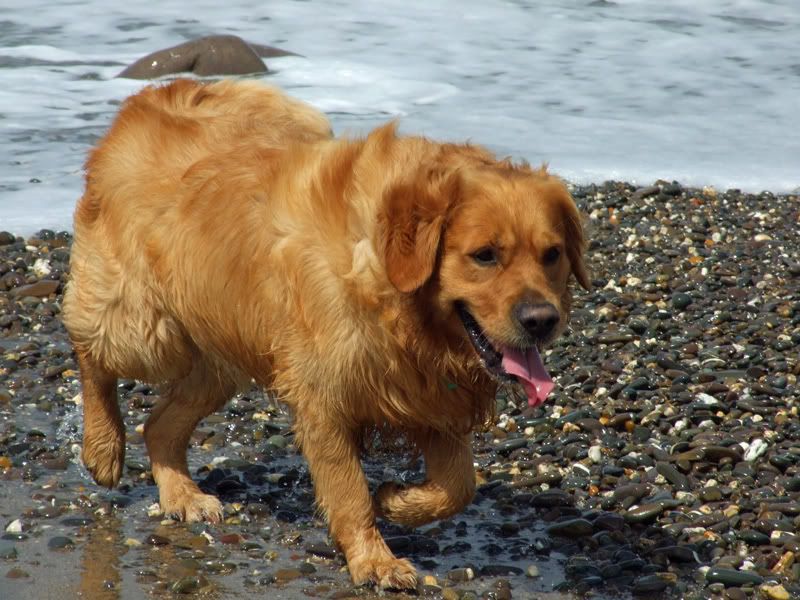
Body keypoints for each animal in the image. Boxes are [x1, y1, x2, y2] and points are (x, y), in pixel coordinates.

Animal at [61, 77, 588, 588]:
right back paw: (102, 448)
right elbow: (350, 491)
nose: (542, 320)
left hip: (224, 355)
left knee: (160, 423)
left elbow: (459, 486)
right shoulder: (327, 398)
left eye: (552, 254)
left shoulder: (432, 397)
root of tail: (143, 102)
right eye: (485, 255)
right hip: (148, 329)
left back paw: (180, 493)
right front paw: (374, 560)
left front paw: (397, 500)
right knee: (89, 348)